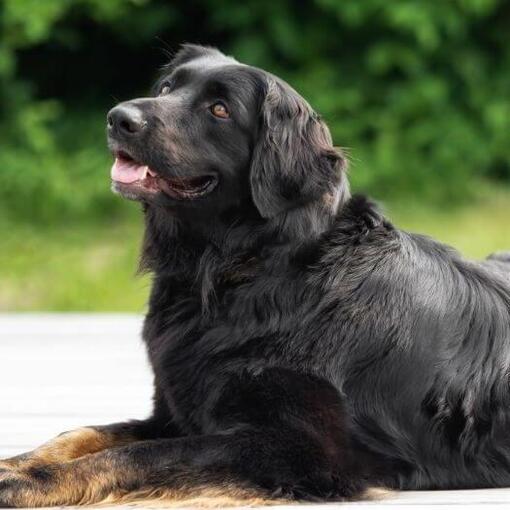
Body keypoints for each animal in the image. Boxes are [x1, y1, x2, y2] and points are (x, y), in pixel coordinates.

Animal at [0, 45, 510, 508]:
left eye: (220, 110)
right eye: (166, 89)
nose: (118, 118)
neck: (247, 272)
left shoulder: (304, 448)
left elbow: (144, 455)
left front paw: (34, 483)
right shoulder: (175, 411)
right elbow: (83, 433)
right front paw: (20, 463)